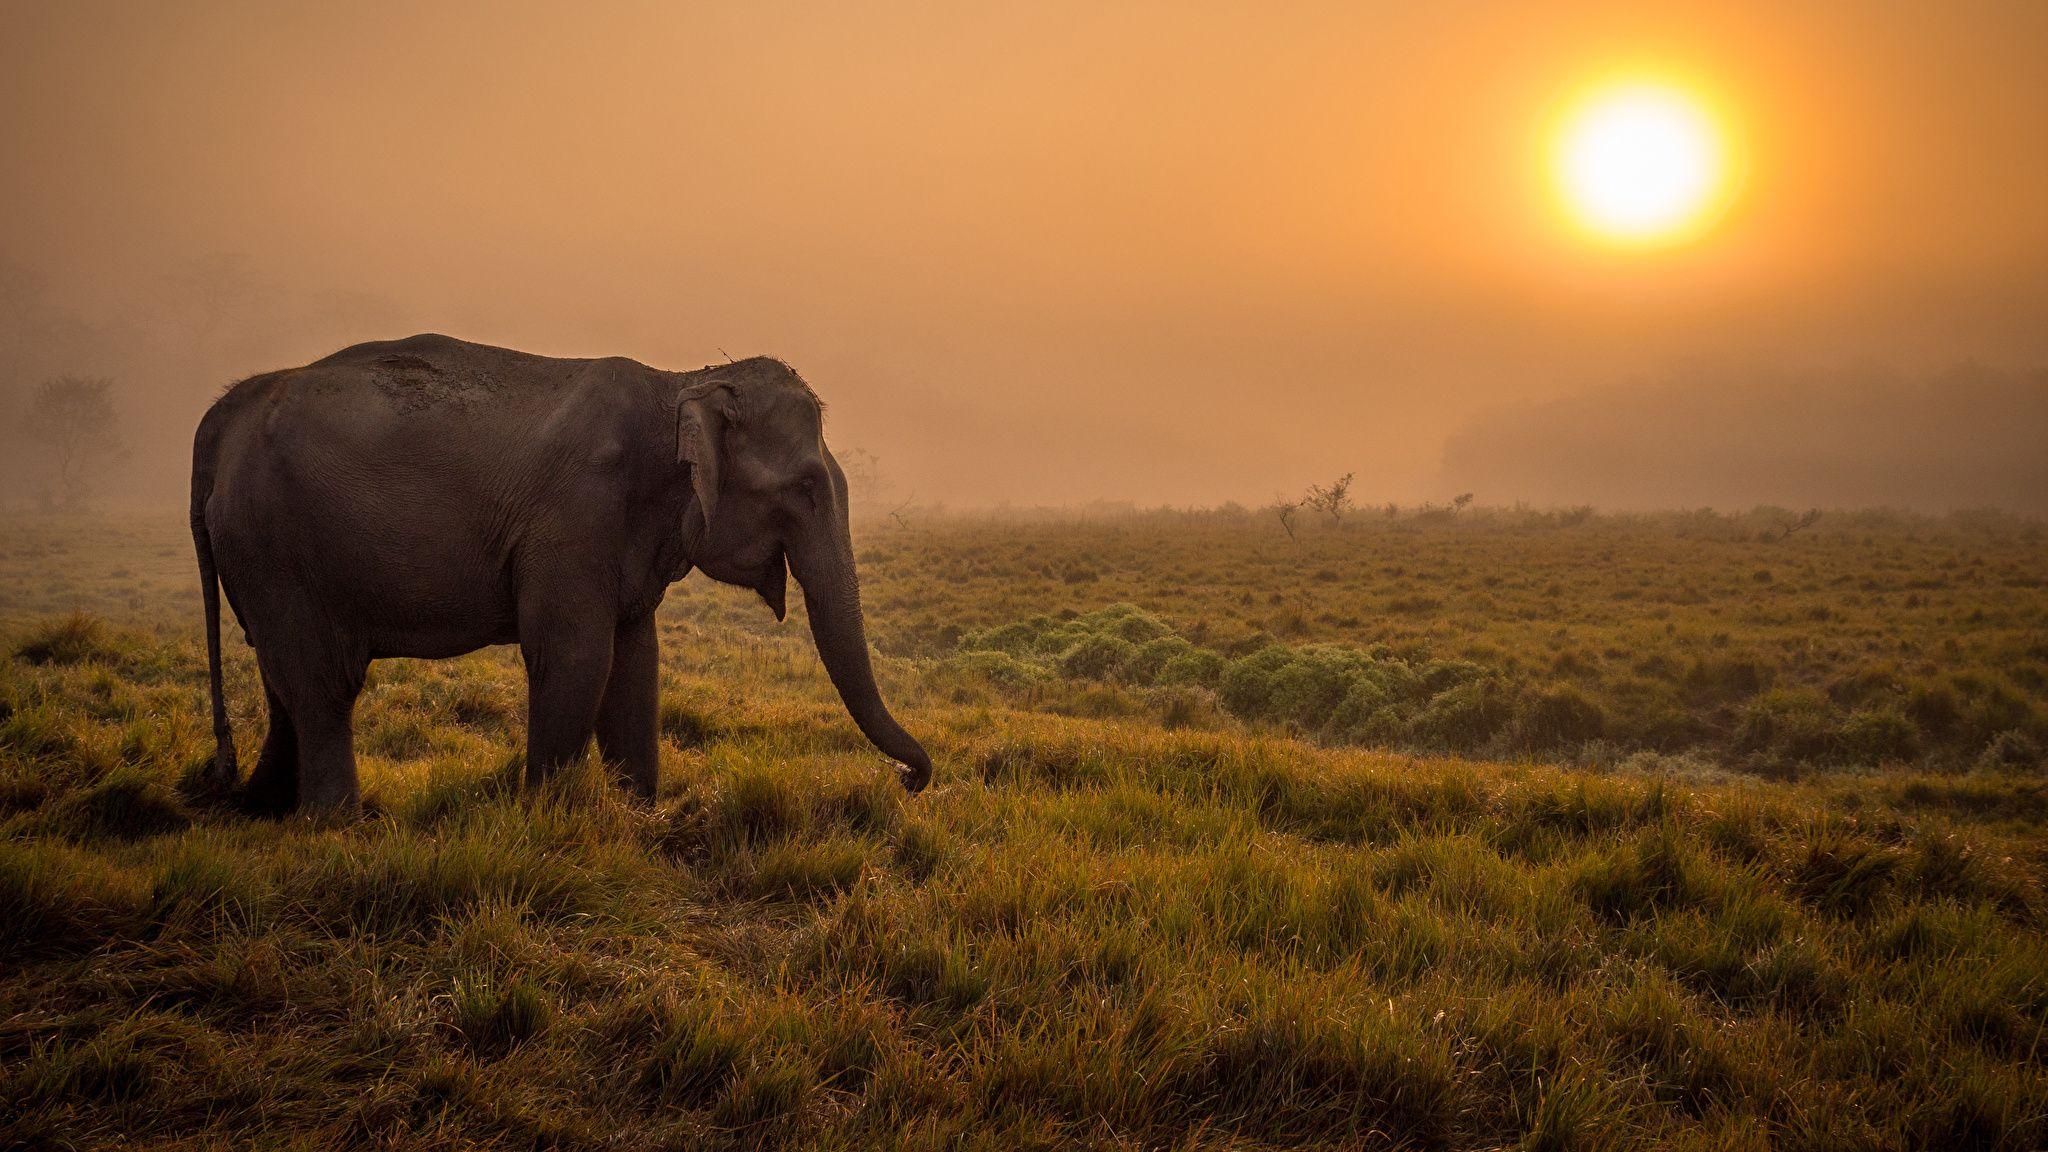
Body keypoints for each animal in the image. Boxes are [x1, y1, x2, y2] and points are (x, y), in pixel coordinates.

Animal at [192, 336, 929, 811]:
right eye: (805, 489)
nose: (907, 778)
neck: (680, 382)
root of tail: (226, 410)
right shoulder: (573, 515)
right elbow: (576, 657)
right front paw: (546, 820)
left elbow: (636, 661)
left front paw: (641, 815)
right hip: (278, 544)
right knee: (322, 682)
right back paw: (337, 823)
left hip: (258, 553)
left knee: (282, 676)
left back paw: (262, 808)